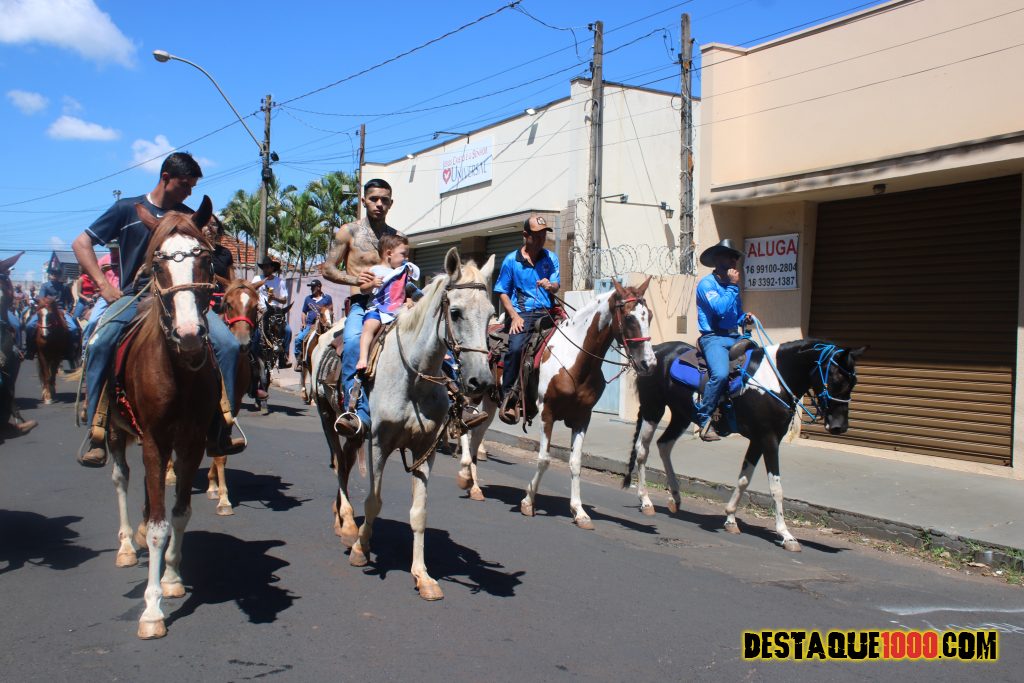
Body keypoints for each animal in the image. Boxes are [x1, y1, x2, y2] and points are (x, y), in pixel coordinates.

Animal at [104, 196, 221, 639]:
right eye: (157, 266)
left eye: (205, 258)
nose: (189, 336)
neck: (179, 369)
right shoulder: (154, 439)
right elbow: (157, 528)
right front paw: (152, 609)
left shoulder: (190, 442)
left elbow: (179, 513)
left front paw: (171, 578)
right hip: (116, 432)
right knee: (121, 478)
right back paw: (125, 544)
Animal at [323, 248, 494, 601]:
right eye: (455, 312)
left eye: (491, 315)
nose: (481, 382)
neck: (413, 377)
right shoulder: (378, 443)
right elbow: (373, 501)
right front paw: (360, 549)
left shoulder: (424, 451)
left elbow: (419, 513)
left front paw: (423, 576)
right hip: (328, 417)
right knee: (338, 466)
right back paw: (346, 524)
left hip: (354, 437)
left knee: (344, 465)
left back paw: (342, 520)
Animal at [459, 278, 656, 529]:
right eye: (630, 317)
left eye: (649, 316)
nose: (649, 364)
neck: (574, 359)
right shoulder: (548, 413)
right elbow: (544, 459)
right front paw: (528, 501)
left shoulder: (582, 417)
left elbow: (575, 463)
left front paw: (579, 512)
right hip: (473, 394)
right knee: (464, 427)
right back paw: (465, 475)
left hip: (491, 402)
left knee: (477, 435)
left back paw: (475, 487)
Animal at [623, 337, 865, 552]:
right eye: (835, 379)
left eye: (853, 382)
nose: (839, 426)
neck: (775, 379)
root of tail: (656, 350)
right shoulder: (769, 439)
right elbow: (776, 488)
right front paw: (786, 535)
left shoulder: (758, 440)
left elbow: (744, 479)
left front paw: (730, 518)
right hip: (653, 408)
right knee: (642, 451)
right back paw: (646, 501)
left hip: (681, 415)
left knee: (664, 446)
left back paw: (675, 496)